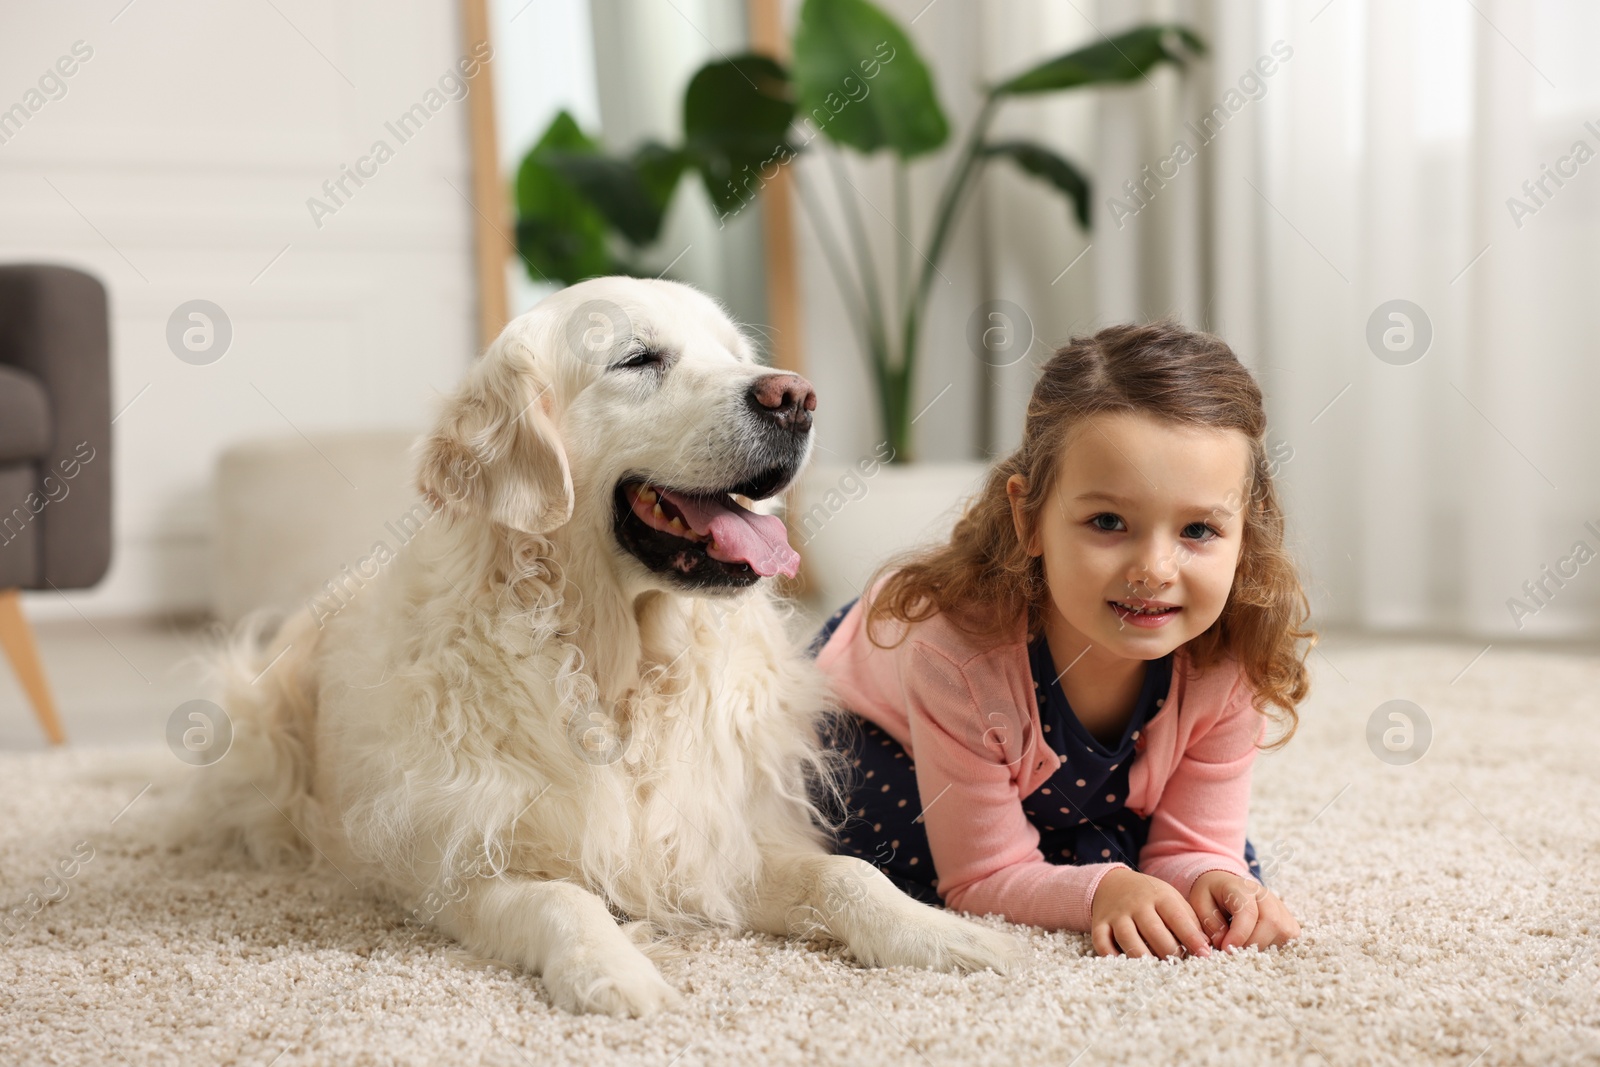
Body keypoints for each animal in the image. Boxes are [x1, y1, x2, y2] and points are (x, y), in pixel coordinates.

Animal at [193, 275, 1024, 1017]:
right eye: (637, 359)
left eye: (736, 353)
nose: (795, 396)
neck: (618, 667)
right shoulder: (461, 870)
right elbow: (564, 899)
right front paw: (616, 972)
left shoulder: (709, 839)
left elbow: (847, 873)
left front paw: (942, 930)